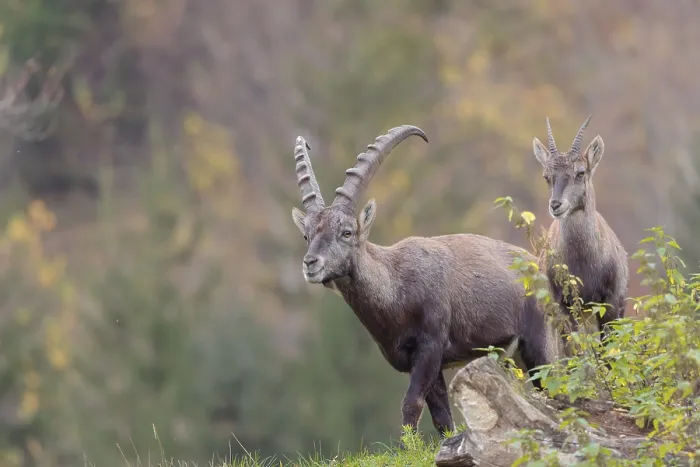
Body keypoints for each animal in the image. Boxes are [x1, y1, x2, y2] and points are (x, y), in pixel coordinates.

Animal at [291, 125, 560, 436]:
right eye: (307, 235)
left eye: (346, 232)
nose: (311, 263)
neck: (395, 287)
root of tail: (540, 269)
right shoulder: (425, 362)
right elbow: (442, 416)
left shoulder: (429, 348)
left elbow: (412, 404)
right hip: (509, 357)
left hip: (538, 345)